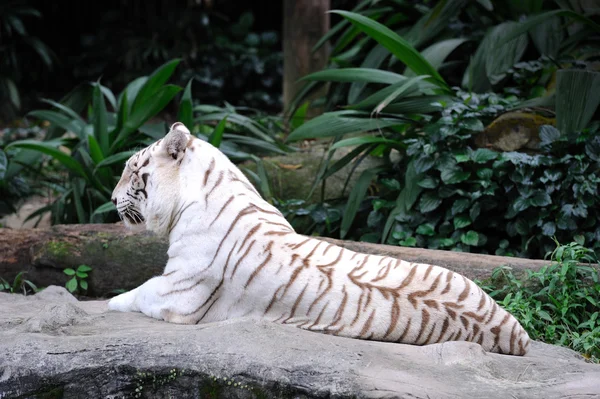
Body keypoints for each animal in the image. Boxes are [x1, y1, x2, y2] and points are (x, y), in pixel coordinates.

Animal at [106, 122, 528, 356]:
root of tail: (517, 334)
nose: (110, 198)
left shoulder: (179, 291)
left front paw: (111, 302)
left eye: (131, 170)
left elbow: (137, 292)